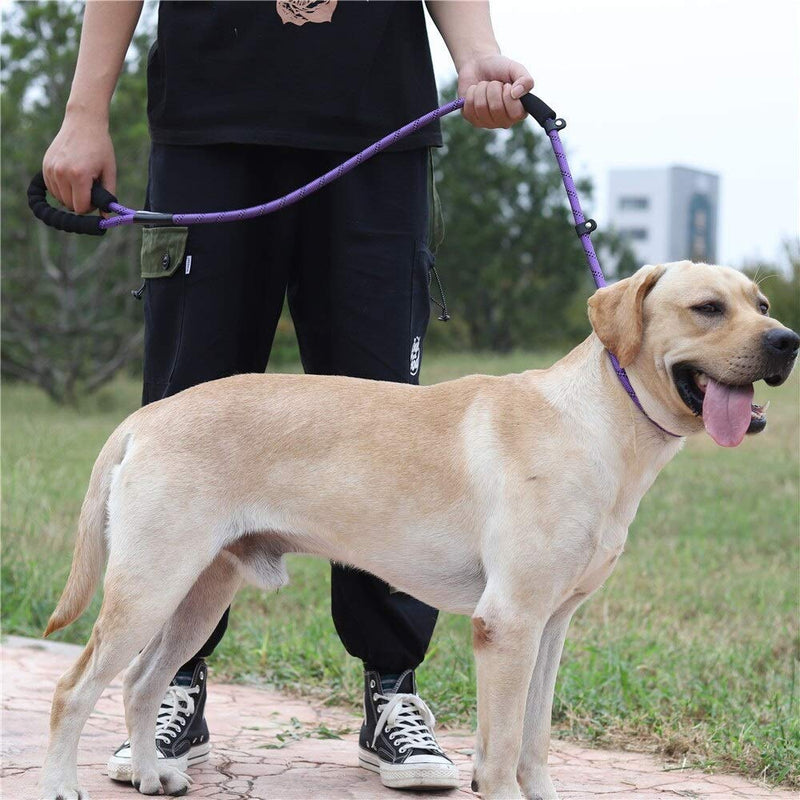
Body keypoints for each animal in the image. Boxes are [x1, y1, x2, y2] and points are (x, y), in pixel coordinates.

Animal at [40, 260, 796, 796]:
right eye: (707, 308)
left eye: (760, 305)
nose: (788, 341)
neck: (599, 421)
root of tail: (147, 417)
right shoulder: (507, 624)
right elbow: (499, 756)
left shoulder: (551, 626)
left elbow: (535, 744)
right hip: (149, 587)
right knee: (75, 690)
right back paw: (62, 787)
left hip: (200, 593)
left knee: (140, 685)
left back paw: (152, 774)